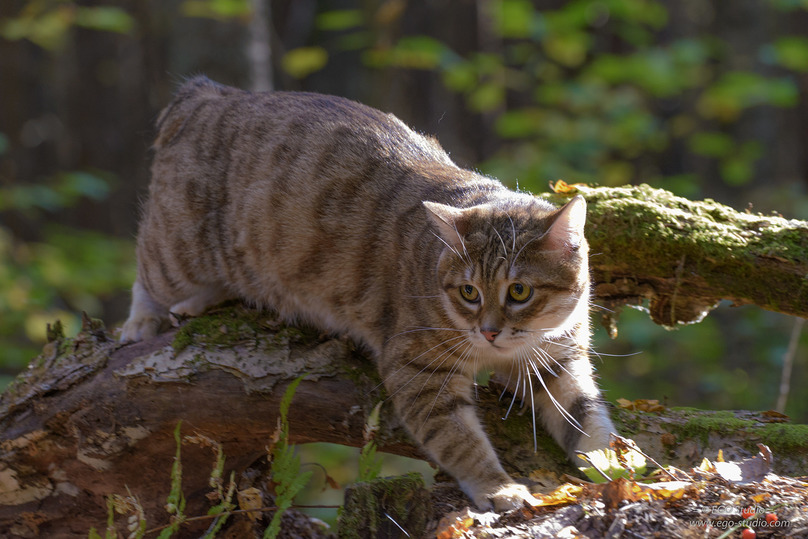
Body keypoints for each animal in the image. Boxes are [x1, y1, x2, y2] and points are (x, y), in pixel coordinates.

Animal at [118, 75, 612, 510]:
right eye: (469, 292)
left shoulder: (560, 360)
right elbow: (460, 440)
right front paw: (499, 487)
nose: (489, 331)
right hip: (178, 249)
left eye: (520, 291)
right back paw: (142, 322)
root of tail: (211, 94)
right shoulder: (418, 369)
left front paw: (615, 465)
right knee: (145, 271)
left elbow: (587, 418)